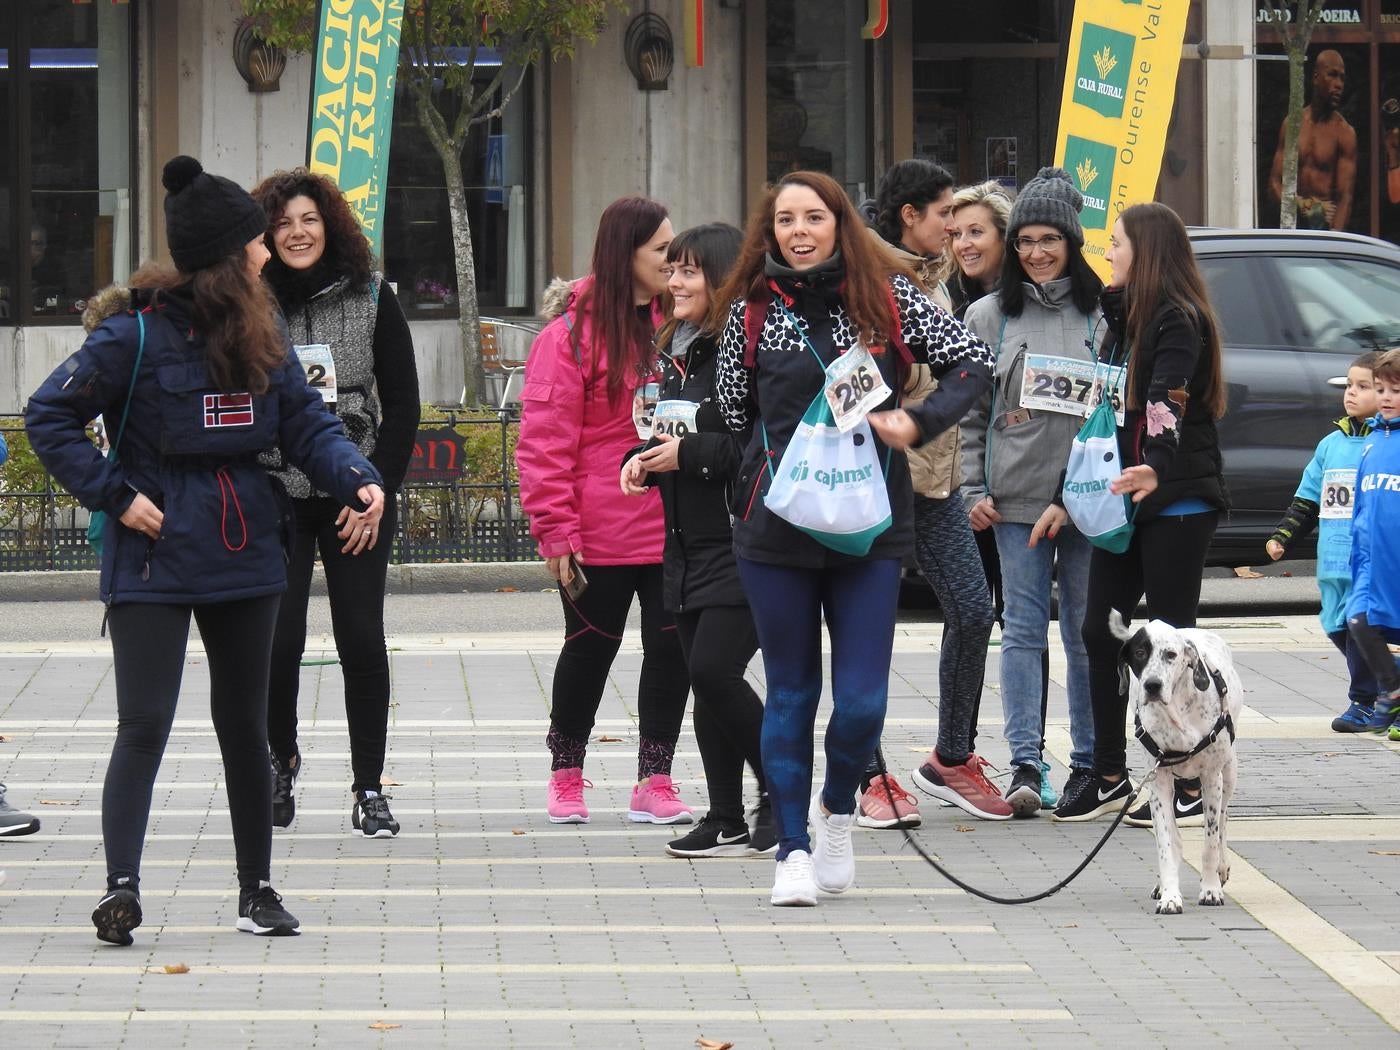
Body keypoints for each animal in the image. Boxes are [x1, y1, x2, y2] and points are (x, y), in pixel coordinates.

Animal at [1114, 613, 1248, 918]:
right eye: (1140, 653)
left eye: (1171, 655)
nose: (1152, 685)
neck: (1178, 713)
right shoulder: (1159, 784)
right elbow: (1166, 844)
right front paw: (1170, 895)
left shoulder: (1211, 779)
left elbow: (1210, 842)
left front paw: (1210, 889)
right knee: (1174, 839)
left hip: (1229, 773)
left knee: (1223, 821)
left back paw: (1221, 869)